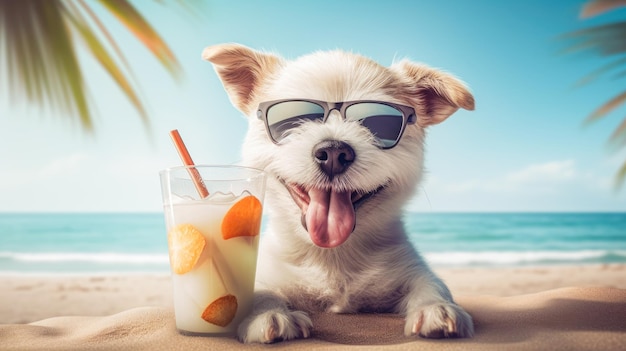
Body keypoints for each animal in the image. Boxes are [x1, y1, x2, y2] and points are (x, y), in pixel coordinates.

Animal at [202, 43, 470, 344]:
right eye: (293, 120)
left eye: (378, 123)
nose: (333, 152)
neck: (332, 255)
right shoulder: (271, 271)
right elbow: (259, 291)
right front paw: (268, 313)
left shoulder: (408, 266)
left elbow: (430, 283)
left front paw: (436, 307)